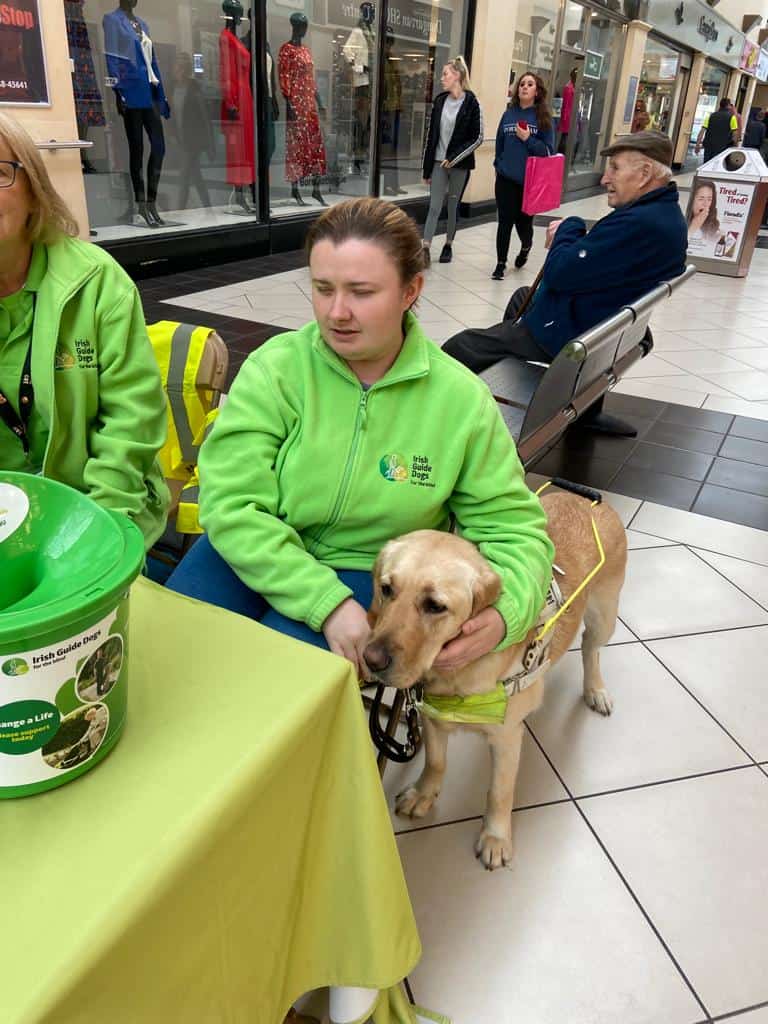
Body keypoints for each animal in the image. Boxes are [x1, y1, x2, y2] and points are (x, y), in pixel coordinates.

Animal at [364, 487, 626, 872]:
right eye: (386, 589)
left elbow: (499, 793)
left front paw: (496, 838)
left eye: (435, 606)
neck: (456, 674)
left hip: (603, 616)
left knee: (591, 651)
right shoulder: (432, 719)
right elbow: (436, 762)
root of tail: (588, 500)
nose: (371, 659)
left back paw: (596, 690)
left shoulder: (506, 738)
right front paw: (424, 794)